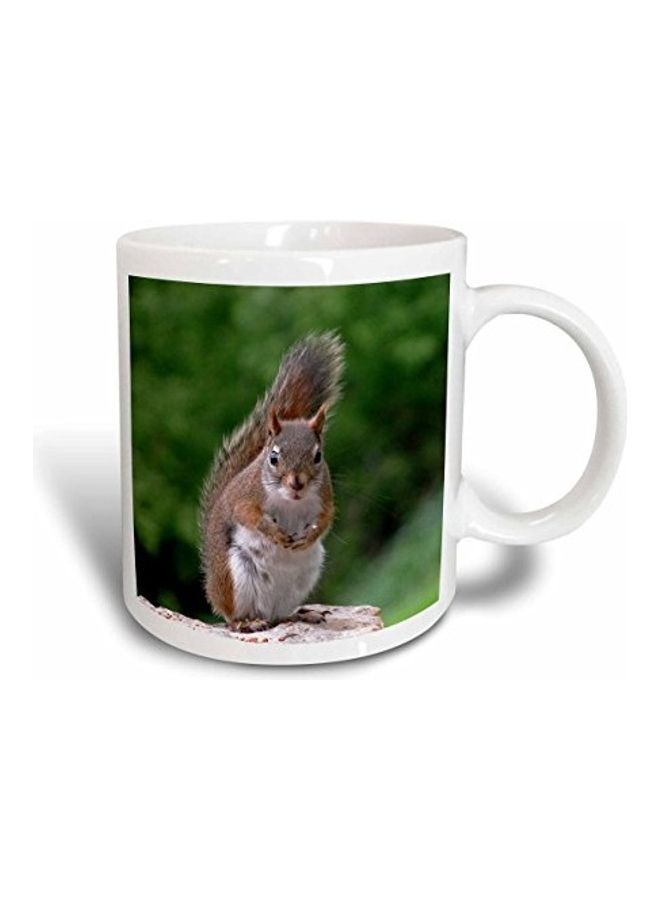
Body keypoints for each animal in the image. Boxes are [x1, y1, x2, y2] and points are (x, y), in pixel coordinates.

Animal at [200, 332, 344, 632]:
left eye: (318, 456)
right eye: (274, 457)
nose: (297, 483)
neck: (291, 502)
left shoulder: (325, 497)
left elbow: (327, 518)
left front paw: (308, 535)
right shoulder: (244, 496)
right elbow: (248, 515)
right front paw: (274, 532)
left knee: (278, 616)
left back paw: (298, 615)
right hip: (236, 577)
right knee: (234, 619)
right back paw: (247, 623)